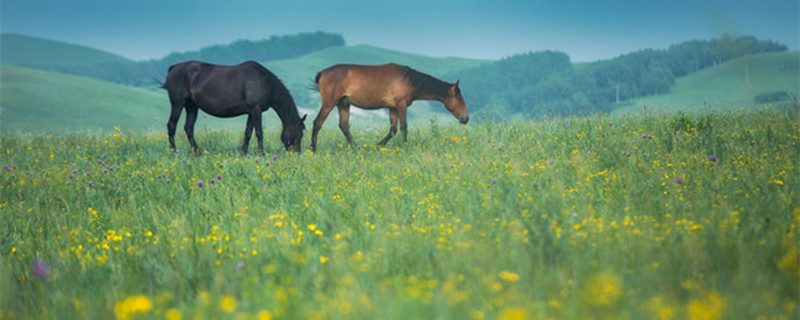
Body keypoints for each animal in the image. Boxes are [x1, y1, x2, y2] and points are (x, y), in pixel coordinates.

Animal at [161, 61, 304, 155]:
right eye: (300, 134)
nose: (297, 154)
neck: (265, 82)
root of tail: (173, 68)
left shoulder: (251, 112)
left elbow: (248, 133)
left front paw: (243, 153)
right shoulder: (256, 110)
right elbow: (259, 133)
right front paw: (261, 154)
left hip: (191, 106)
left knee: (189, 128)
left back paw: (197, 152)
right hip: (177, 104)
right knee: (171, 126)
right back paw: (174, 152)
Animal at [308, 64, 468, 152]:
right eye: (460, 99)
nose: (466, 118)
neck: (409, 79)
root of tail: (323, 73)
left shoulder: (393, 108)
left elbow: (393, 129)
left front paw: (377, 145)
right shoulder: (401, 106)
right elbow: (404, 127)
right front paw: (405, 147)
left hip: (343, 104)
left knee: (344, 126)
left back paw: (356, 147)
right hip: (329, 103)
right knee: (317, 123)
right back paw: (313, 149)